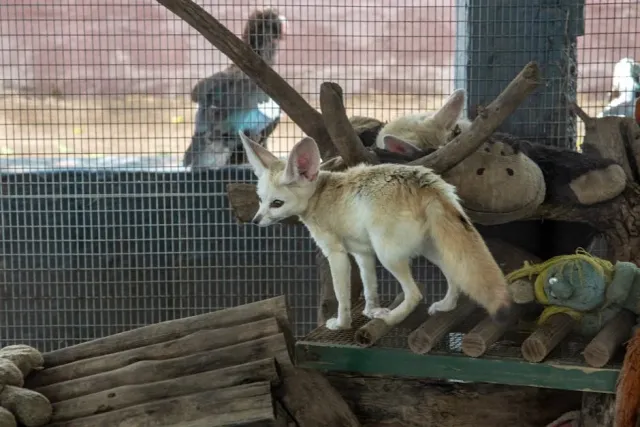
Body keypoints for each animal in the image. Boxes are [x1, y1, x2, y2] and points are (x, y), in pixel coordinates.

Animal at [238, 129, 512, 331]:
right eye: (260, 200)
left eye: (277, 204)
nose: (255, 221)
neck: (319, 195)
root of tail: (426, 183)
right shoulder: (363, 253)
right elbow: (370, 286)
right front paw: (370, 310)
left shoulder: (336, 254)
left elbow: (342, 296)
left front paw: (342, 324)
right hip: (430, 250)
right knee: (454, 276)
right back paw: (445, 306)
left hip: (389, 255)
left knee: (414, 294)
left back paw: (390, 318)